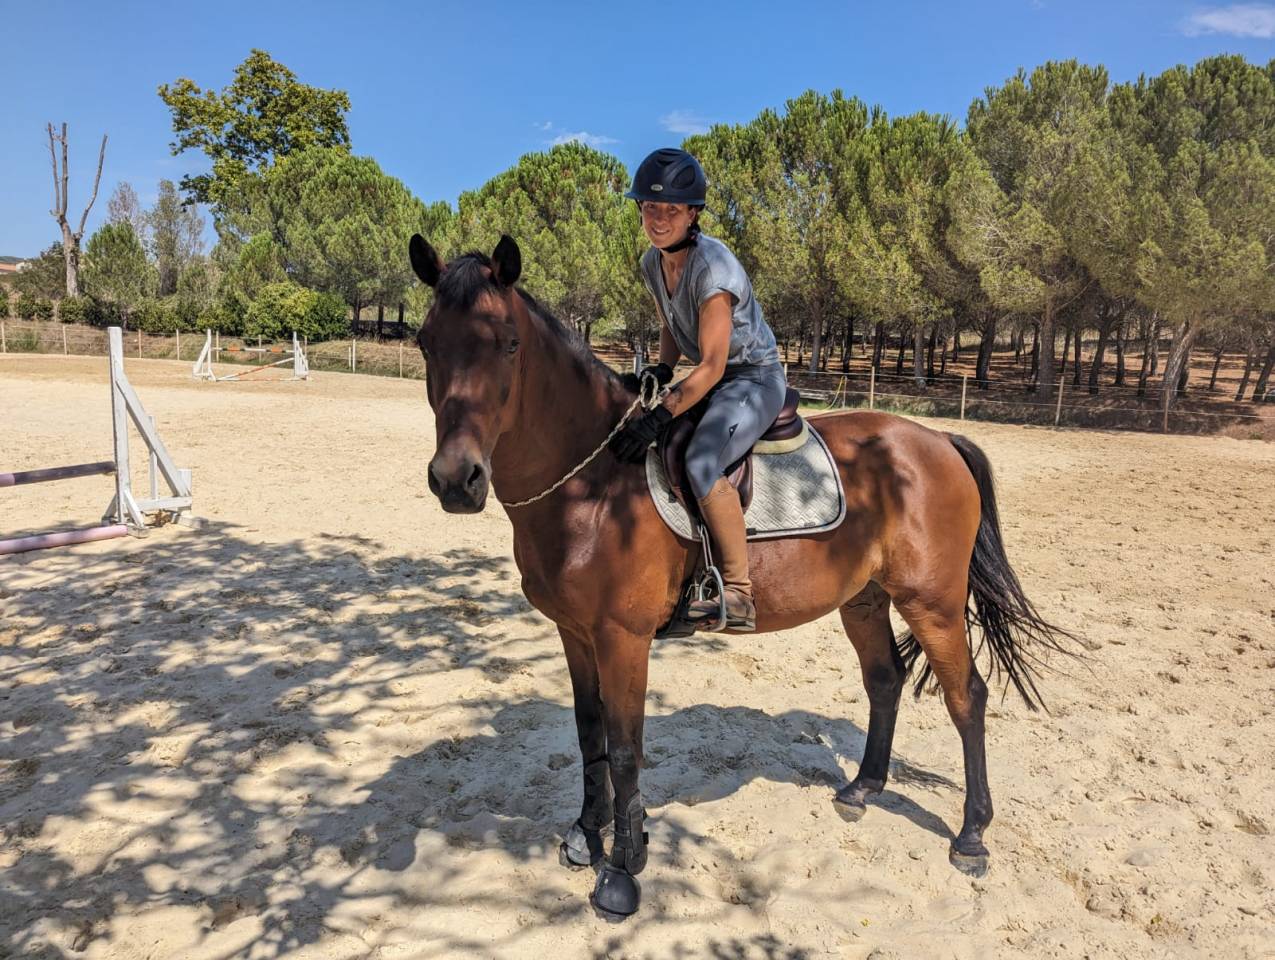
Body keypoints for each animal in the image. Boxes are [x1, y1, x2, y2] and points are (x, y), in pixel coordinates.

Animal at [408, 233, 1074, 919]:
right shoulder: (575, 633)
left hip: (932, 602)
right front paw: (585, 836)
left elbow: (625, 750)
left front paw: (622, 870)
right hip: (864, 599)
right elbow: (590, 736)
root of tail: (938, 439)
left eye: (509, 344)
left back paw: (971, 835)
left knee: (966, 697)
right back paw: (862, 789)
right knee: (885, 682)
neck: (592, 483)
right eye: (427, 342)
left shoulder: (623, 639)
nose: (456, 479)